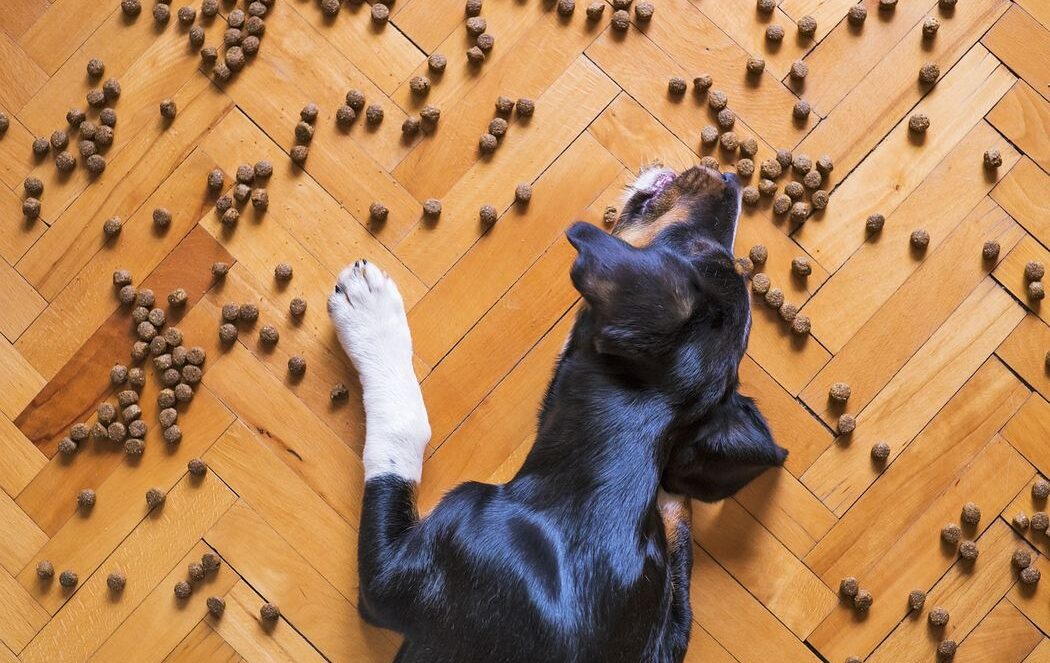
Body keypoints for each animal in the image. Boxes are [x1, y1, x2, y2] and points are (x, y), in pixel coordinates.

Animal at [327, 166, 789, 663]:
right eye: (712, 252)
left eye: (690, 248)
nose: (729, 178)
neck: (594, 488)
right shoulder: (668, 627)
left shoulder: (392, 579)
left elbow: (402, 432)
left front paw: (369, 313)